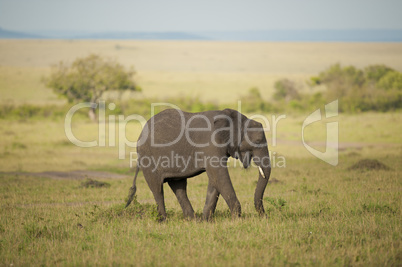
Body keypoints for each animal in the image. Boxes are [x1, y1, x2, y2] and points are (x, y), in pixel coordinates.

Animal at [124, 108, 272, 221]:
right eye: (257, 141)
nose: (265, 216)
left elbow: (215, 179)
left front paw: (206, 220)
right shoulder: (211, 144)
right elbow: (219, 175)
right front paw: (237, 219)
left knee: (179, 186)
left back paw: (192, 220)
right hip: (148, 158)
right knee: (157, 189)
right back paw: (163, 220)